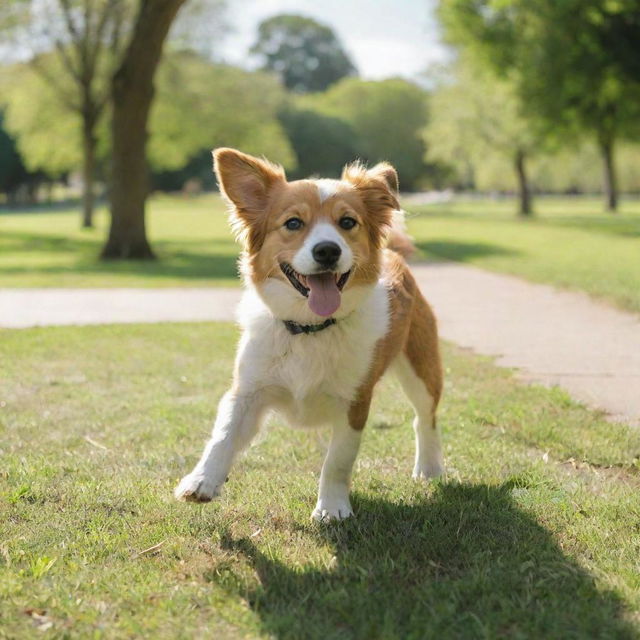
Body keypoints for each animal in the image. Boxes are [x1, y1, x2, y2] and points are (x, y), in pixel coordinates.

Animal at [175, 149, 444, 520]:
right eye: (293, 223)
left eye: (347, 222)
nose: (327, 250)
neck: (309, 329)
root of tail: (394, 254)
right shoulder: (247, 391)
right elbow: (223, 435)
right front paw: (202, 480)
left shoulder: (354, 402)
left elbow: (337, 461)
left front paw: (332, 507)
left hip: (422, 369)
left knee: (424, 418)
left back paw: (429, 468)